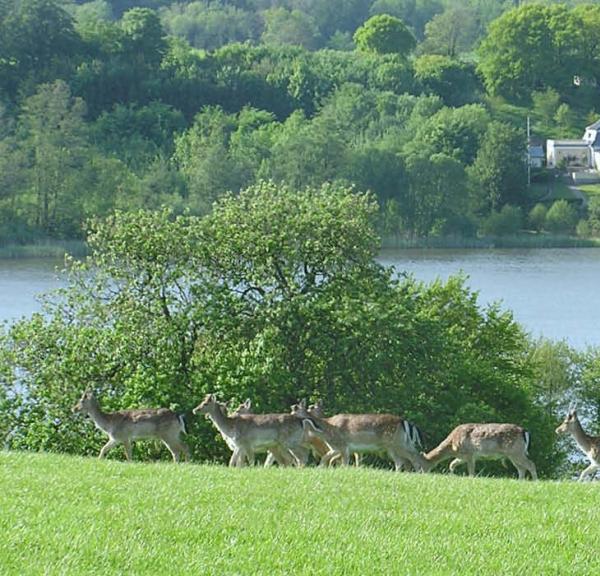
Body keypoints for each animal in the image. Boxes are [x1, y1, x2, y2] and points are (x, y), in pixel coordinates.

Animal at [292, 400, 426, 472]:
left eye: (294, 409)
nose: (290, 417)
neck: (327, 431)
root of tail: (405, 422)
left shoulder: (343, 445)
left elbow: (340, 462)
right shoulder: (336, 448)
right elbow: (327, 458)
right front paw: (321, 469)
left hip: (398, 443)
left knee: (413, 457)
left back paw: (419, 472)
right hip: (396, 446)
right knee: (400, 461)